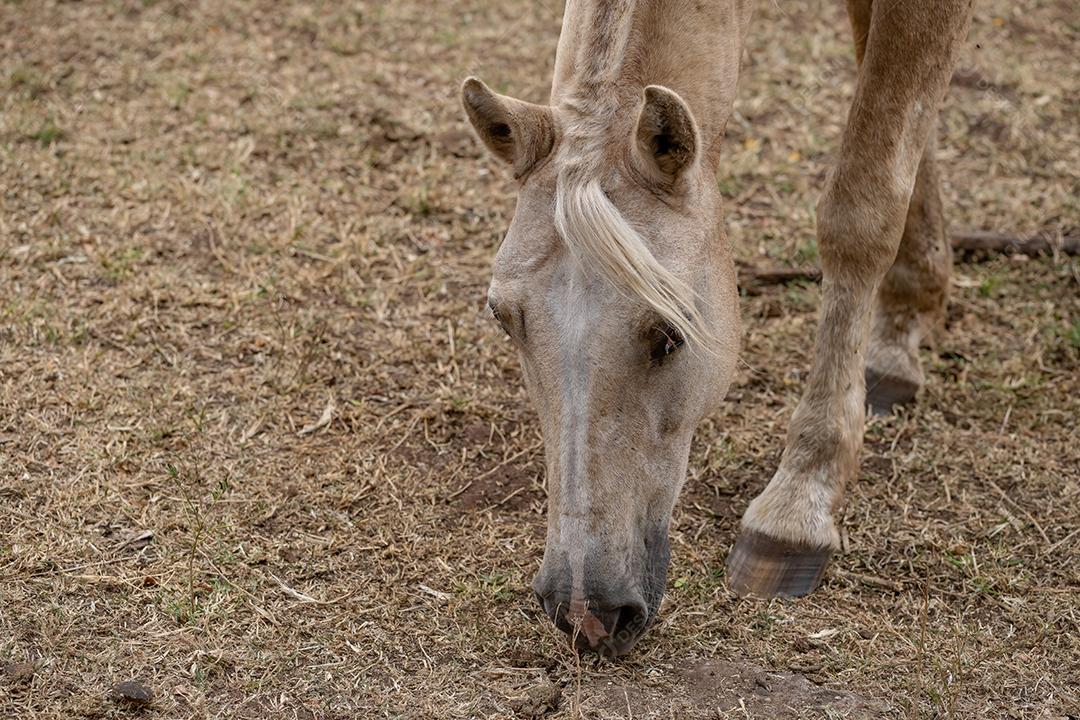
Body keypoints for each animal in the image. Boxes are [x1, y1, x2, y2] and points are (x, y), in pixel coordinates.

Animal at [461, 0, 973, 656]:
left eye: (670, 335)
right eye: (505, 320)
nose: (585, 612)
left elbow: (864, 207)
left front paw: (800, 501)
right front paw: (904, 321)